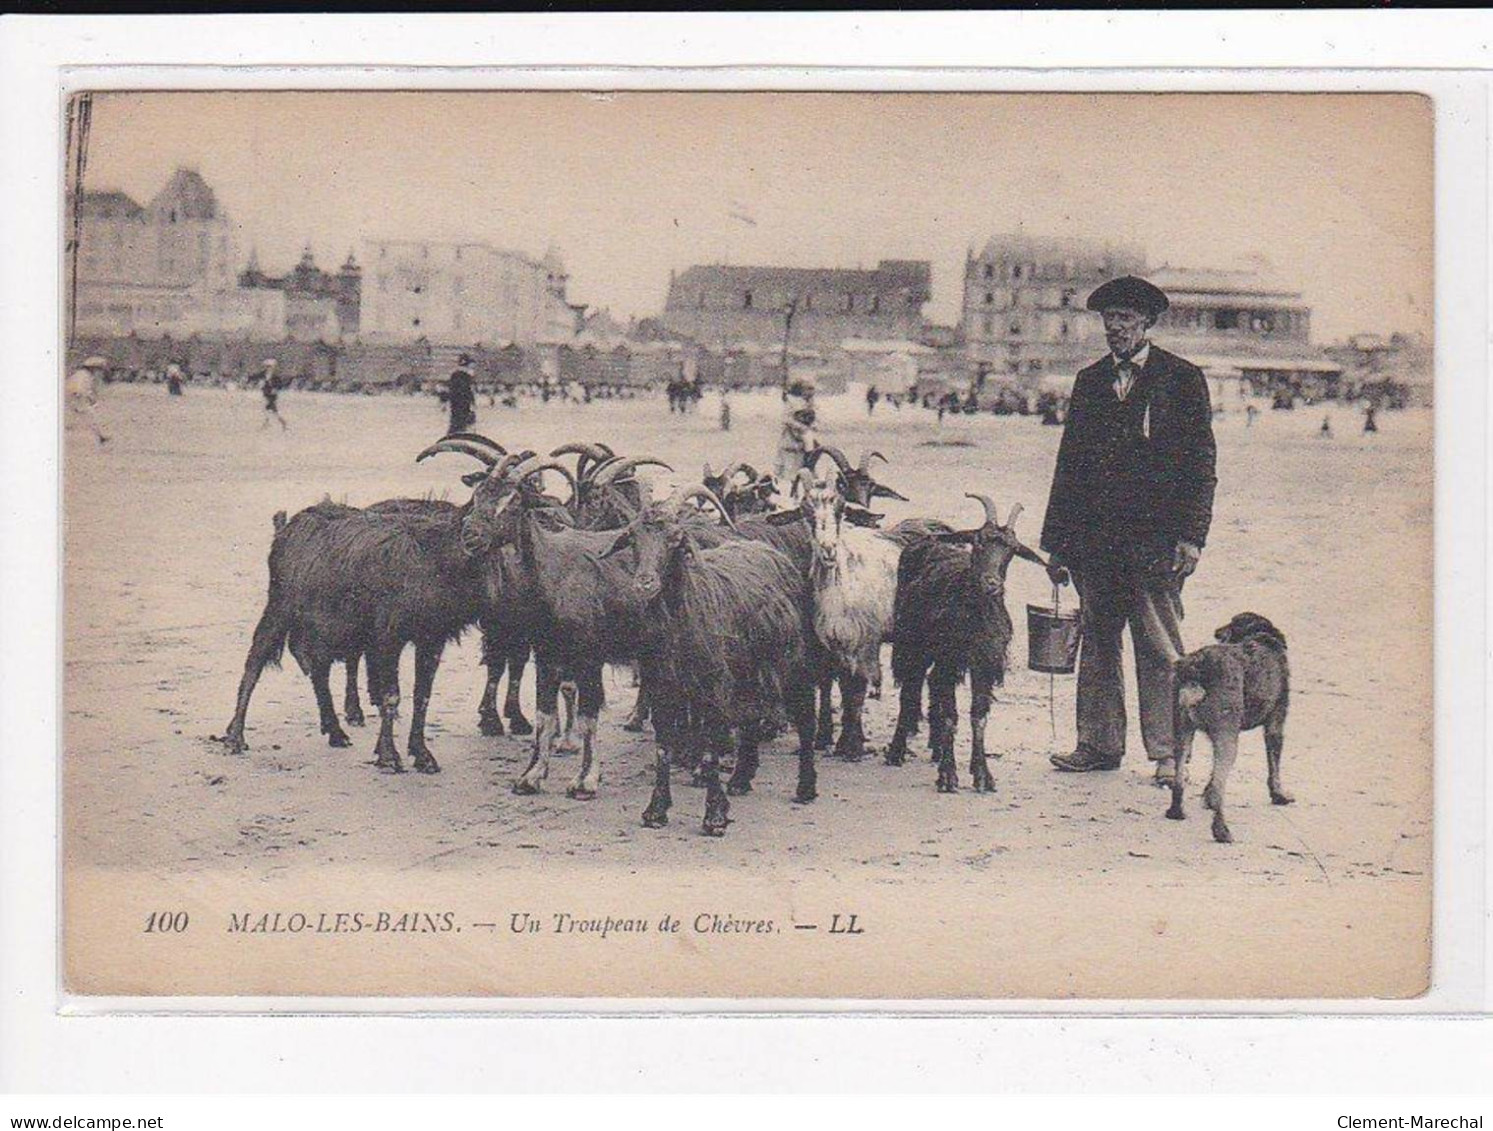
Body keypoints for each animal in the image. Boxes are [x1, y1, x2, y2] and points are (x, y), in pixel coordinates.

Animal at [889, 495, 1045, 799]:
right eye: (979, 541)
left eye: (1012, 549)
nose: (992, 584)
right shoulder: (948, 660)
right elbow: (951, 715)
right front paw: (948, 777)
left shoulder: (983, 663)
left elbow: (978, 715)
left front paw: (982, 774)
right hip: (912, 644)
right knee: (910, 690)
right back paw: (896, 751)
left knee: (930, 687)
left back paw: (937, 748)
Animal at [1158, 611, 1289, 841]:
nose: (1217, 632)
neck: (1258, 636)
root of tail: (1196, 666)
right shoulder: (1275, 724)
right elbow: (1274, 766)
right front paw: (1278, 795)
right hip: (1228, 740)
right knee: (1220, 788)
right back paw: (1221, 831)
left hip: (1182, 733)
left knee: (1179, 778)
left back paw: (1176, 811)